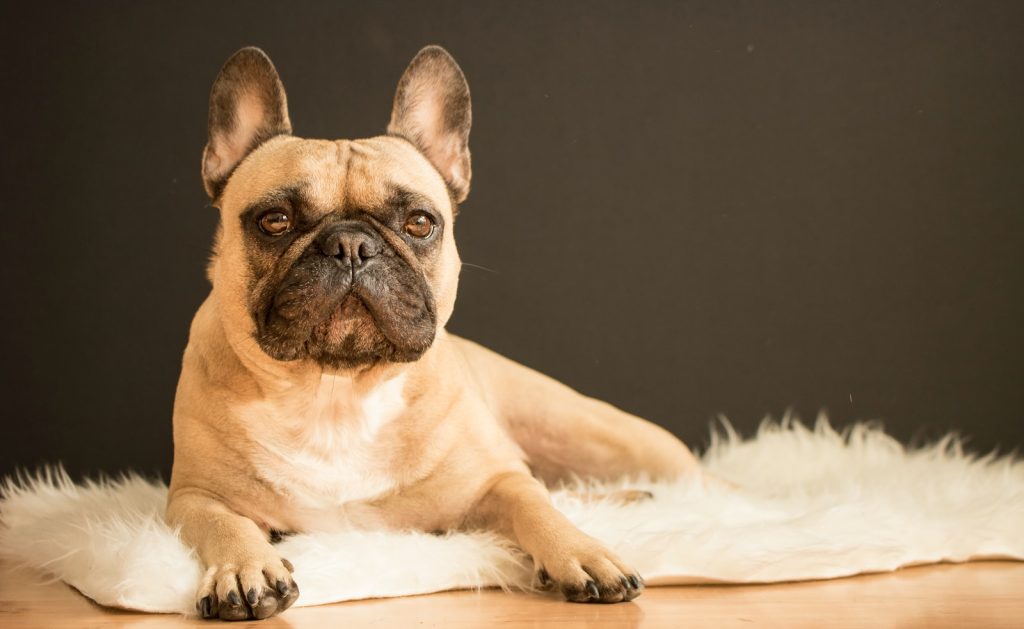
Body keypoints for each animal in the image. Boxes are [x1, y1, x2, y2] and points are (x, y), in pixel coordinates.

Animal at [169, 44, 704, 622]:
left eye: (420, 223)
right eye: (275, 220)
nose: (351, 245)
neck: (335, 393)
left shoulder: (497, 480)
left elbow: (534, 505)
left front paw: (581, 551)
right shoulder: (192, 495)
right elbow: (224, 521)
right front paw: (245, 567)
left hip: (601, 434)